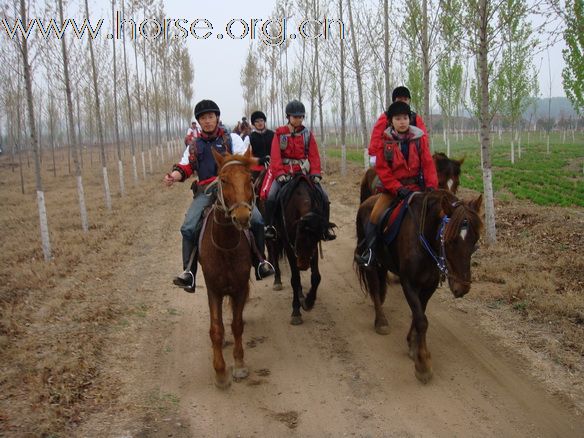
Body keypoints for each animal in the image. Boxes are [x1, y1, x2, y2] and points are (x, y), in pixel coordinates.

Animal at [270, 175, 328, 326]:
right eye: (298, 237)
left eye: (314, 240)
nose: (303, 265)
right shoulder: (289, 246)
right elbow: (295, 279)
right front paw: (296, 311)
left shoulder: (314, 249)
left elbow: (316, 277)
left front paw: (308, 301)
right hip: (274, 237)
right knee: (273, 251)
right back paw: (277, 281)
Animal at [356, 190, 484, 382]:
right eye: (450, 240)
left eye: (475, 239)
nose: (462, 288)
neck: (424, 241)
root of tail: (367, 201)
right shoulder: (408, 283)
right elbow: (421, 320)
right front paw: (422, 363)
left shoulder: (429, 285)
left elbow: (420, 313)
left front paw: (413, 344)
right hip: (371, 263)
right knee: (374, 288)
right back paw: (381, 322)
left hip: (384, 263)